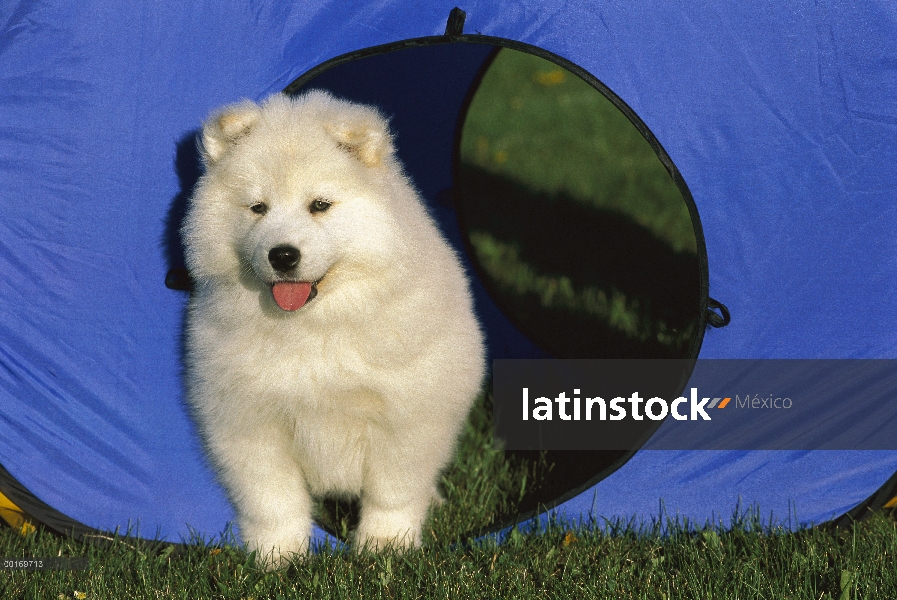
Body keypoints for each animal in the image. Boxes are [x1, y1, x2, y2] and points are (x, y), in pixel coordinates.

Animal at [180, 91, 484, 564]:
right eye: (258, 208)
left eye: (319, 205)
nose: (283, 255)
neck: (315, 325)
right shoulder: (248, 418)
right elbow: (273, 497)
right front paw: (277, 555)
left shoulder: (406, 414)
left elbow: (392, 491)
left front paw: (384, 547)